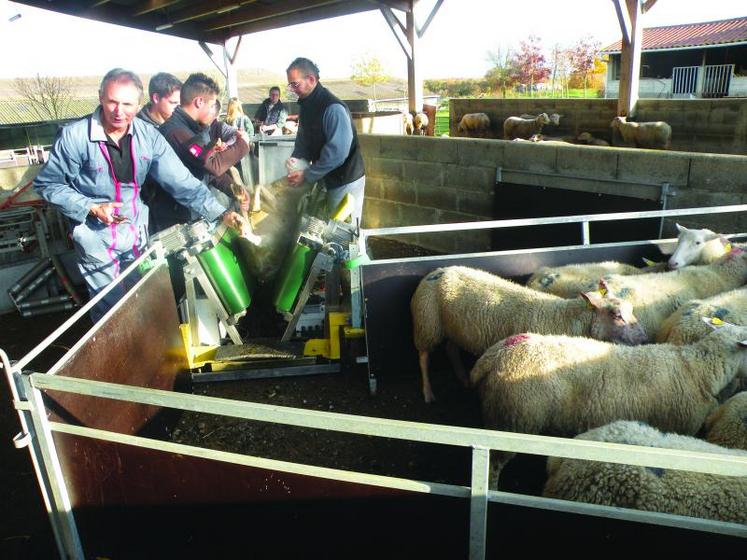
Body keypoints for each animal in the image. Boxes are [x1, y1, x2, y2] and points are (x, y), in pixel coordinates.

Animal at [410, 266, 648, 402]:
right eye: (617, 315)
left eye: (631, 309)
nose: (645, 339)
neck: (563, 318)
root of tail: (439, 270)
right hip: (427, 323)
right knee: (423, 357)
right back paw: (428, 393)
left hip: (453, 326)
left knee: (451, 349)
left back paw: (463, 378)